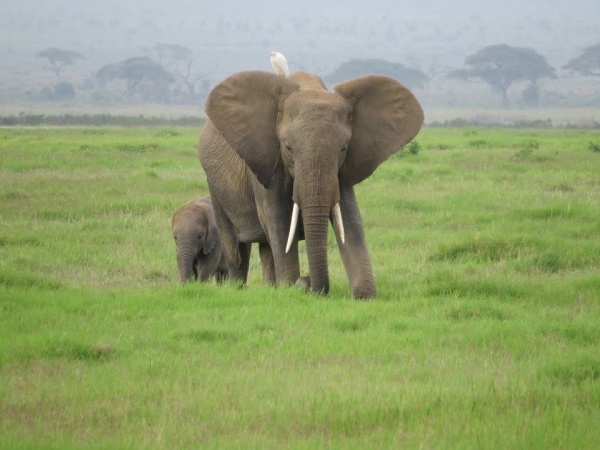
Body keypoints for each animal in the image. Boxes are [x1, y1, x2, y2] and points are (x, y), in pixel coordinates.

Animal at [199, 70, 424, 298]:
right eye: (288, 148)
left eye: (343, 148)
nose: (306, 282)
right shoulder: (268, 159)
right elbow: (279, 220)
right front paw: (289, 288)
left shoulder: (343, 169)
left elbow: (350, 219)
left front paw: (364, 296)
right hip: (214, 185)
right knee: (236, 249)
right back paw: (238, 289)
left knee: (265, 249)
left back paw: (270, 288)